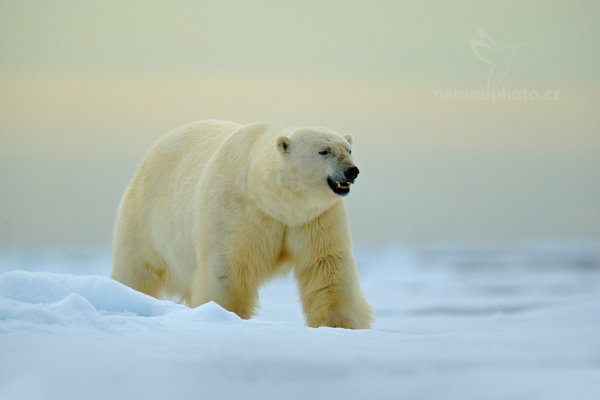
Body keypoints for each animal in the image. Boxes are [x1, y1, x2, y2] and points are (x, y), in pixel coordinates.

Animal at [108, 121, 370, 328]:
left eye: (348, 149)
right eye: (324, 151)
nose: (352, 170)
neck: (273, 200)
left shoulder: (314, 218)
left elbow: (326, 264)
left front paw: (339, 325)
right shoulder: (237, 211)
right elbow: (228, 267)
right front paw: (225, 315)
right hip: (144, 214)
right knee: (135, 268)